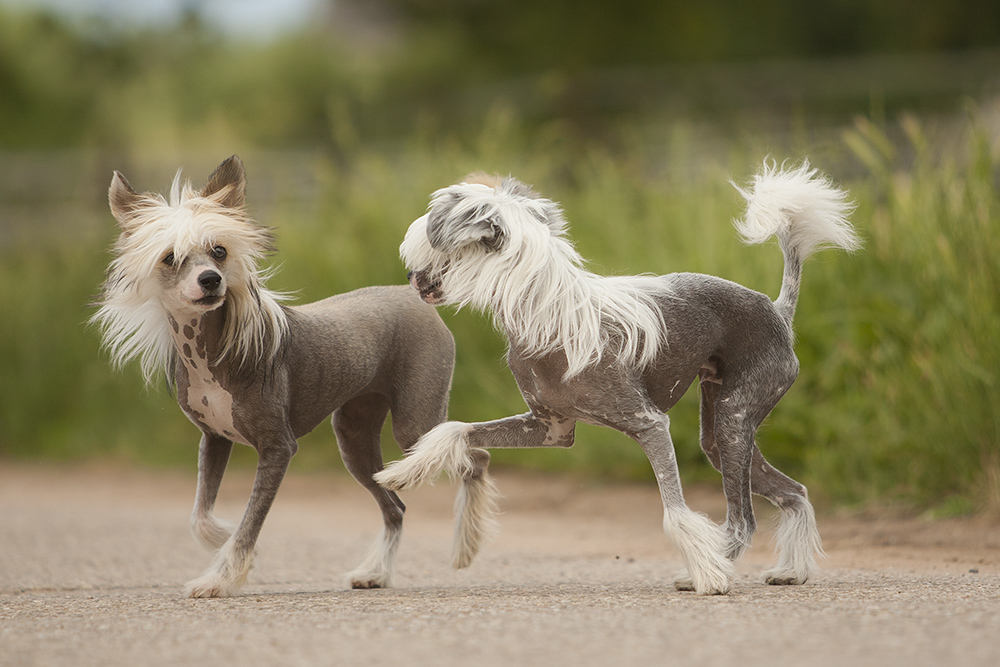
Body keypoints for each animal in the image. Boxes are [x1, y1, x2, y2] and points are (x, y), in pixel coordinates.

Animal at [90, 158, 458, 600]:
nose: (211, 280)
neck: (210, 352)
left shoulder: (278, 448)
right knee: (396, 506)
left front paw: (220, 576)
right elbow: (200, 516)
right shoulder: (213, 441)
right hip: (354, 440)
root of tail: (411, 295)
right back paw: (375, 572)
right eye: (169, 257)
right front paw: (226, 542)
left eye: (219, 250)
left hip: (415, 424)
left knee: (470, 454)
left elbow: (251, 521)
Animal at [376, 160, 860, 596]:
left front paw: (709, 577)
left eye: (444, 254)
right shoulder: (549, 429)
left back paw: (712, 570)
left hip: (734, 420)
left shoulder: (650, 425)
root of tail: (778, 311)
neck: (547, 317)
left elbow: (675, 512)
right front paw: (405, 470)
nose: (412, 278)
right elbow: (455, 429)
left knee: (743, 520)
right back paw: (791, 571)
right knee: (794, 491)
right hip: (719, 435)